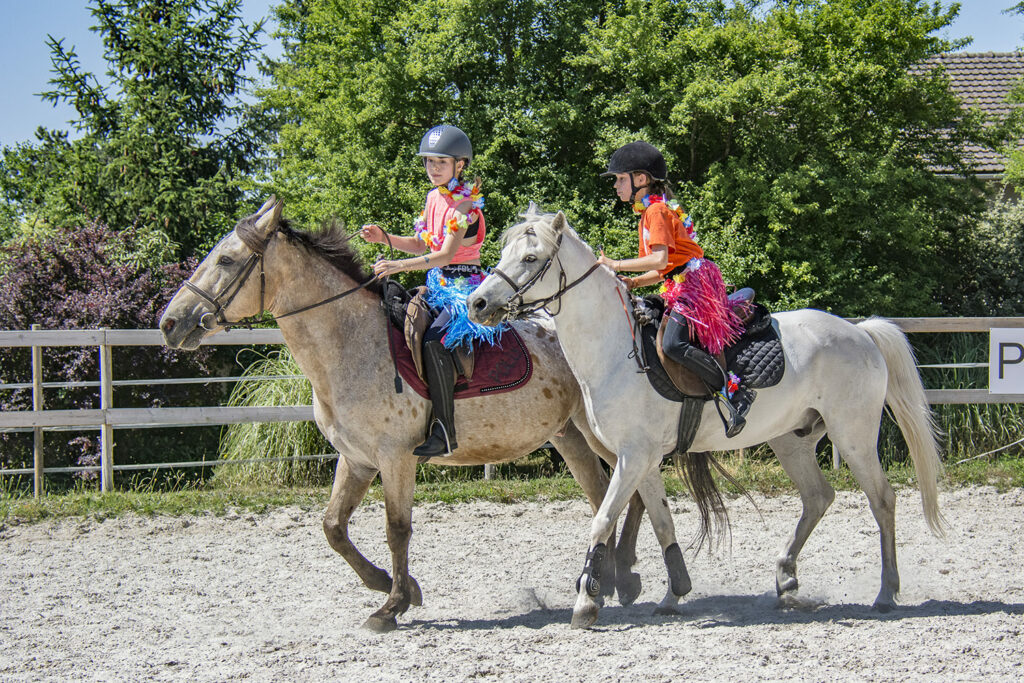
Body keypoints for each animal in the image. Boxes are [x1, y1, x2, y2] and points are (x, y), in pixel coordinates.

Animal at [468, 208, 946, 630]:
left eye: (531, 258)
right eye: (506, 250)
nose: (478, 302)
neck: (615, 351)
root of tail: (859, 332)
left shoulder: (633, 456)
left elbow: (602, 519)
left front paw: (587, 603)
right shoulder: (642, 460)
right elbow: (662, 521)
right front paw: (674, 593)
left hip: (854, 437)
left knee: (882, 500)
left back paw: (886, 593)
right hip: (792, 440)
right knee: (818, 497)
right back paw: (786, 577)